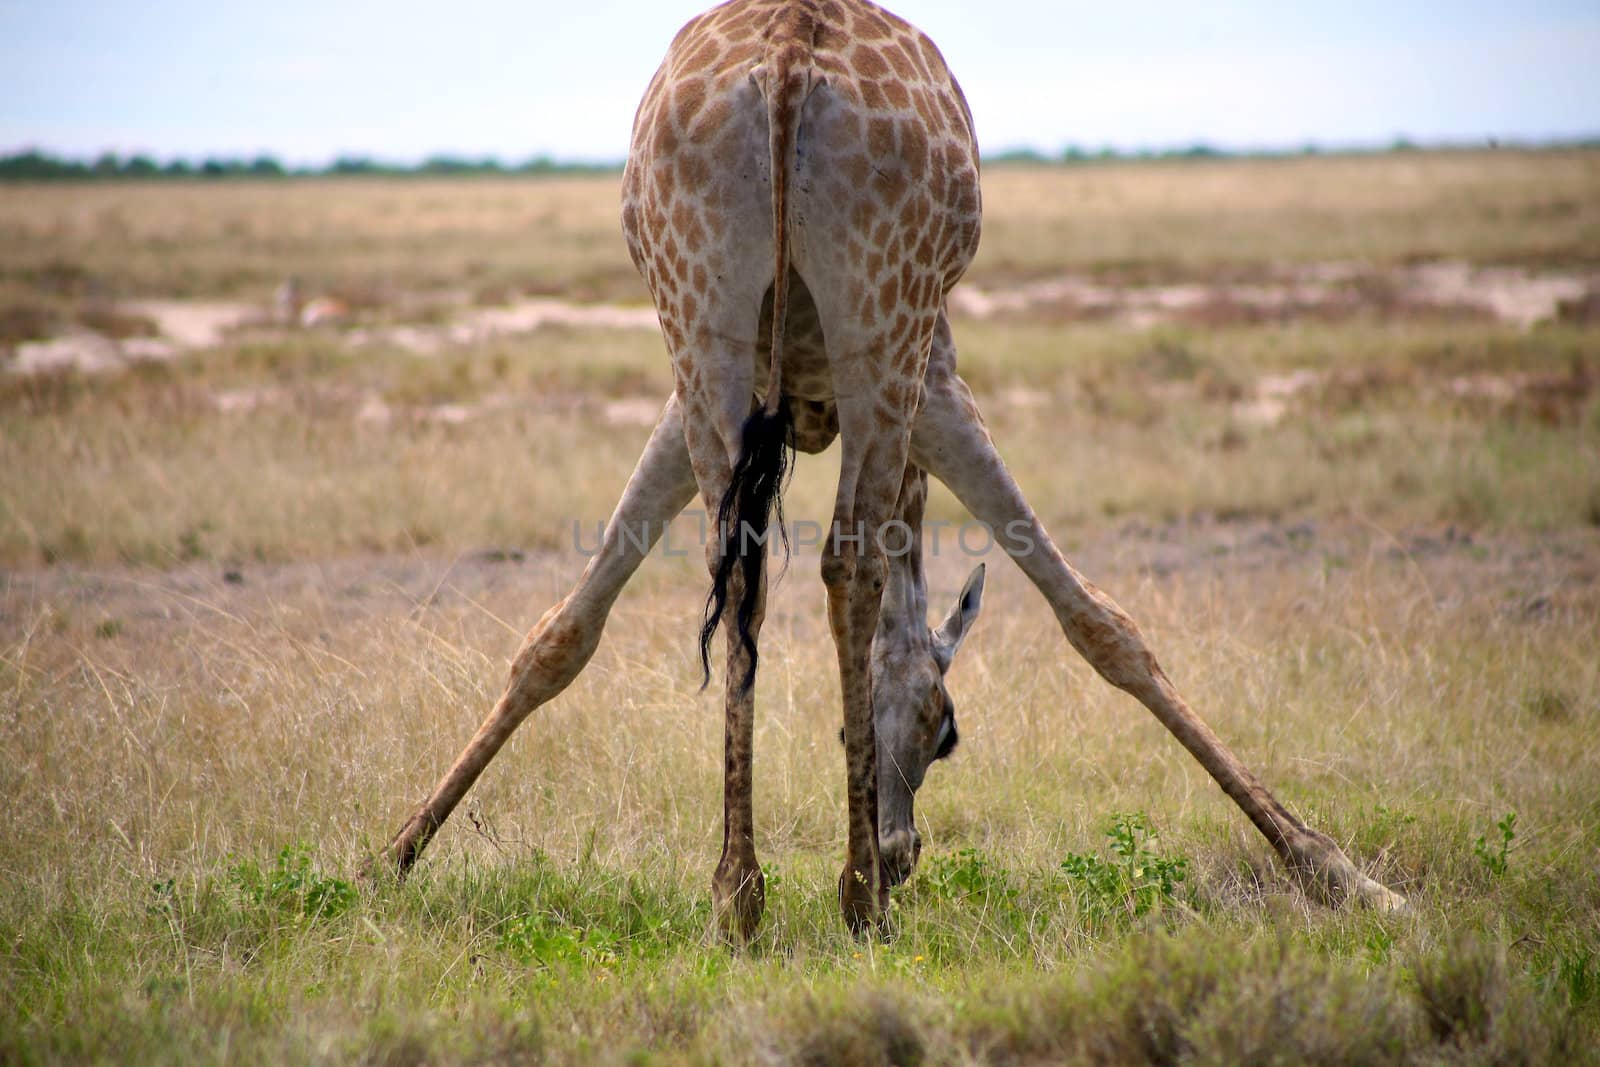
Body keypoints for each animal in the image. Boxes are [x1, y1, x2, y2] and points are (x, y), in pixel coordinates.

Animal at [380, 0, 1408, 940]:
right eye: (949, 730)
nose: (902, 852)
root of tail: (788, 55)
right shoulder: (939, 377)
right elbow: (1100, 622)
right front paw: (1342, 872)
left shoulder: (693, 400)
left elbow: (563, 631)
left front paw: (391, 853)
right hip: (886, 322)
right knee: (851, 563)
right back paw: (854, 900)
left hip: (700, 316)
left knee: (742, 575)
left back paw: (739, 895)